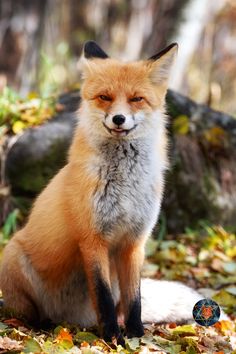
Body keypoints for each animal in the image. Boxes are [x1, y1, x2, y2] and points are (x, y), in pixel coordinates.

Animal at [0, 40, 226, 342]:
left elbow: (135, 301)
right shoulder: (93, 240)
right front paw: (111, 338)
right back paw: (39, 326)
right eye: (105, 97)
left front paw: (135, 337)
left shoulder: (134, 242)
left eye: (136, 99)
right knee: (28, 314)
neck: (125, 186)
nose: (119, 118)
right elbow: (104, 296)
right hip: (13, 257)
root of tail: (67, 318)